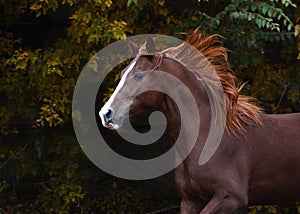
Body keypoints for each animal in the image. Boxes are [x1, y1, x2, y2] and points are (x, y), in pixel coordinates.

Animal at [98, 29, 300, 213]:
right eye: (122, 73)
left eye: (138, 75)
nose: (106, 114)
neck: (205, 134)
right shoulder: (190, 201)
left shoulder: (231, 198)